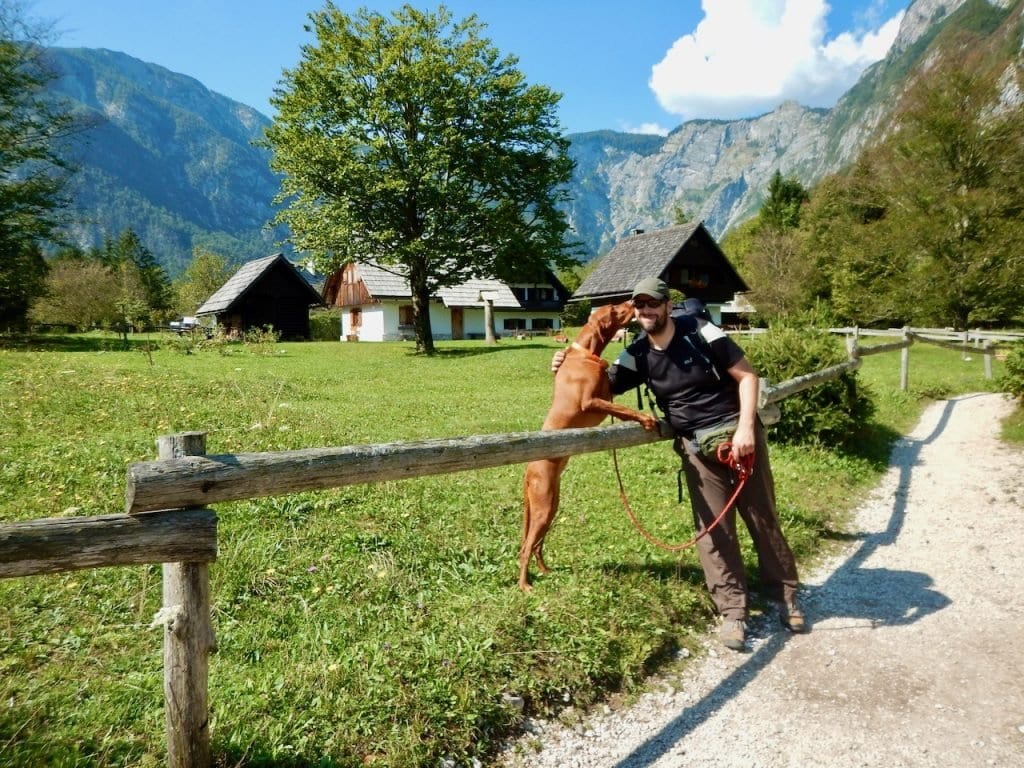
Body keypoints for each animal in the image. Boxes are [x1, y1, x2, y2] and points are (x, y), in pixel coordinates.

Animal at [516, 301, 659, 589]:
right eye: (614, 309)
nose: (631, 301)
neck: (586, 353)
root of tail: (527, 470)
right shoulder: (591, 401)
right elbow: (624, 409)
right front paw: (646, 418)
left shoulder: (605, 393)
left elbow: (619, 403)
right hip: (543, 506)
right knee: (526, 547)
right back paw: (524, 585)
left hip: (550, 505)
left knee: (536, 545)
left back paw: (545, 571)